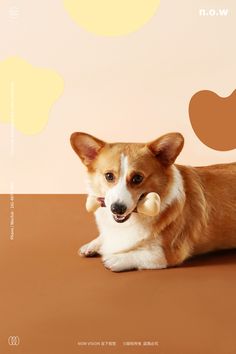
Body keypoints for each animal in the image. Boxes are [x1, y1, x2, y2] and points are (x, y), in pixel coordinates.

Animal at [70, 131, 236, 272]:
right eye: (109, 176)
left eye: (137, 178)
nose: (117, 208)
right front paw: (92, 244)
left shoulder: (167, 254)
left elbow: (140, 255)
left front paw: (115, 259)